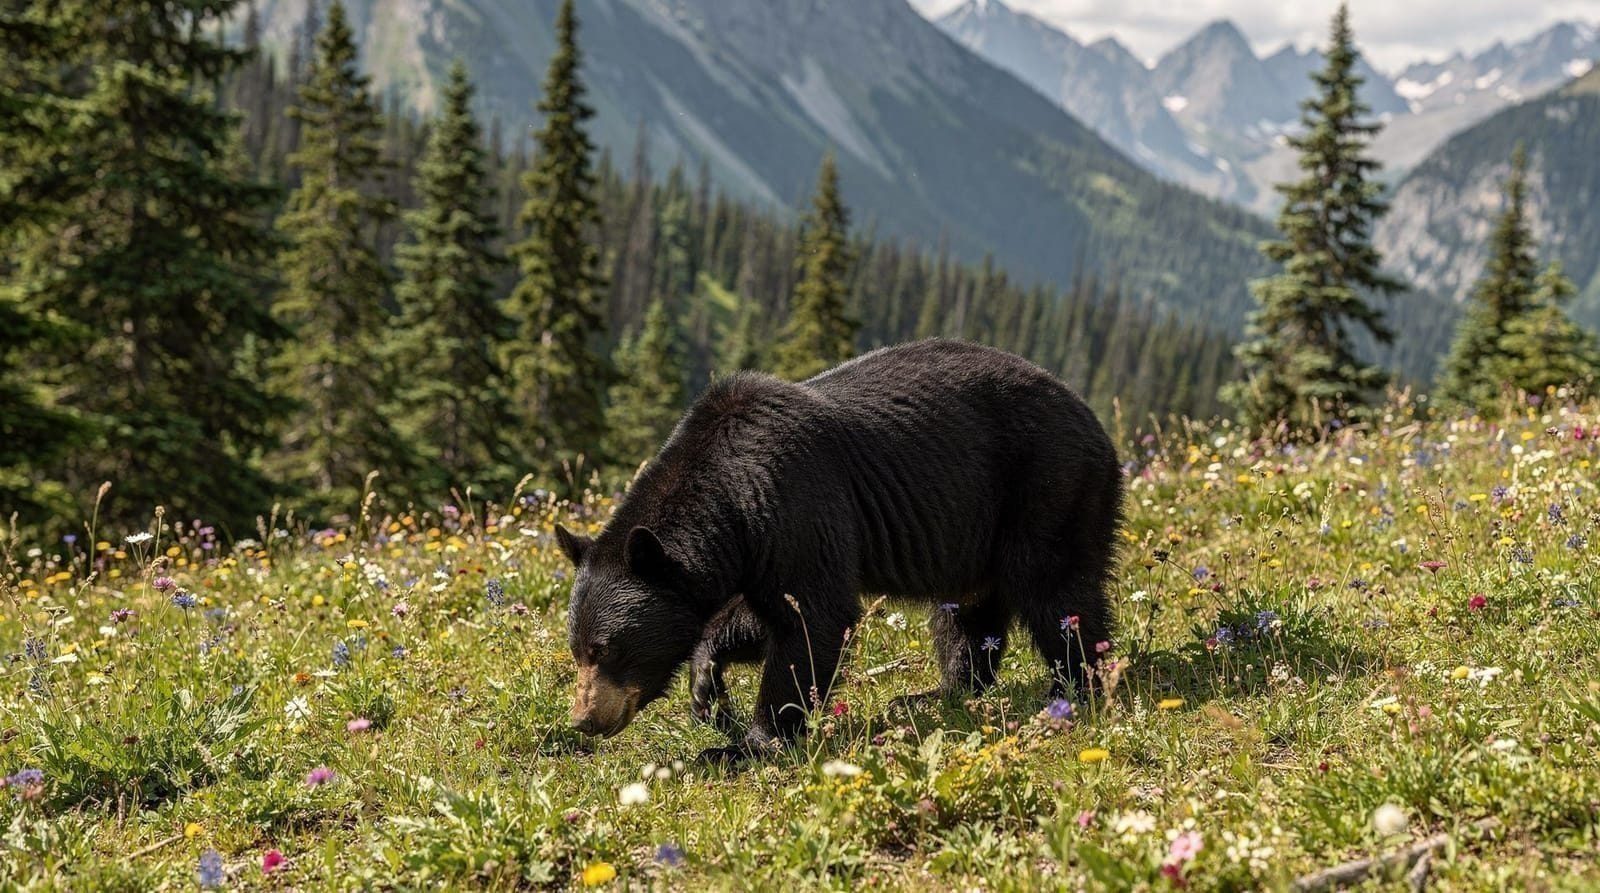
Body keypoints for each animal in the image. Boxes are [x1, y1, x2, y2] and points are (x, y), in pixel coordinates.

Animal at [556, 338, 1123, 760]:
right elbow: (760, 617)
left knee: (1057, 593)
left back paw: (1077, 686)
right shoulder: (756, 544)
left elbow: (813, 618)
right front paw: (707, 691)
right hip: (978, 534)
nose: (584, 719)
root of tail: (1093, 418)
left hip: (1049, 487)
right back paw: (944, 692)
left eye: (605, 649)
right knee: (967, 616)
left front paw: (748, 745)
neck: (727, 492)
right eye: (577, 649)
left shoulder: (794, 499)